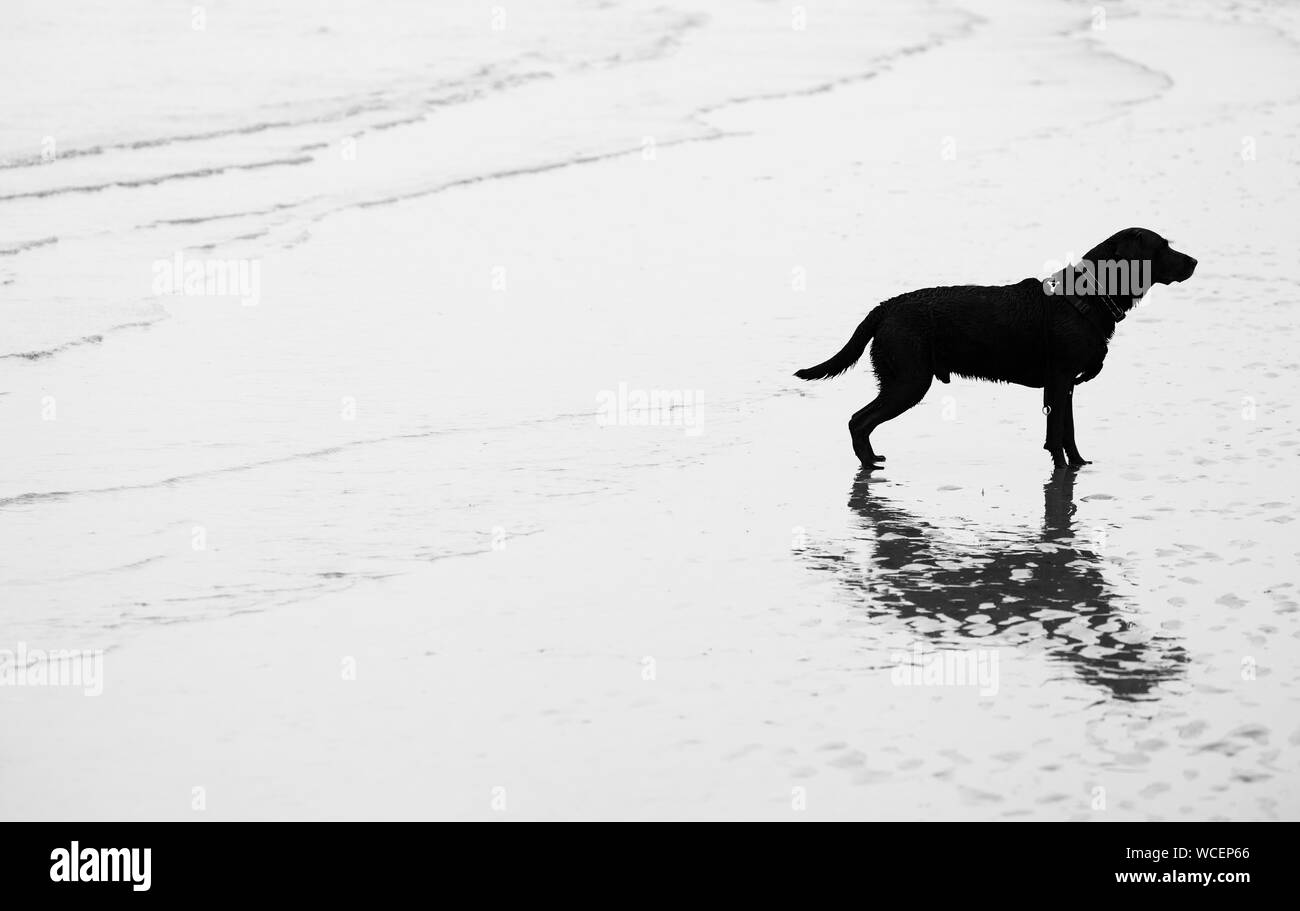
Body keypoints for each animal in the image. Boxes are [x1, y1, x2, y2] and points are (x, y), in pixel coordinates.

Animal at [790, 227, 1196, 467]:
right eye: (1163, 248)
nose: (1194, 260)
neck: (1086, 297)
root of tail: (887, 306)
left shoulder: (1064, 385)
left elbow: (1067, 433)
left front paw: (1078, 467)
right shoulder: (1060, 379)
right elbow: (1057, 436)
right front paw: (1064, 470)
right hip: (909, 381)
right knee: (859, 420)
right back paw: (870, 462)